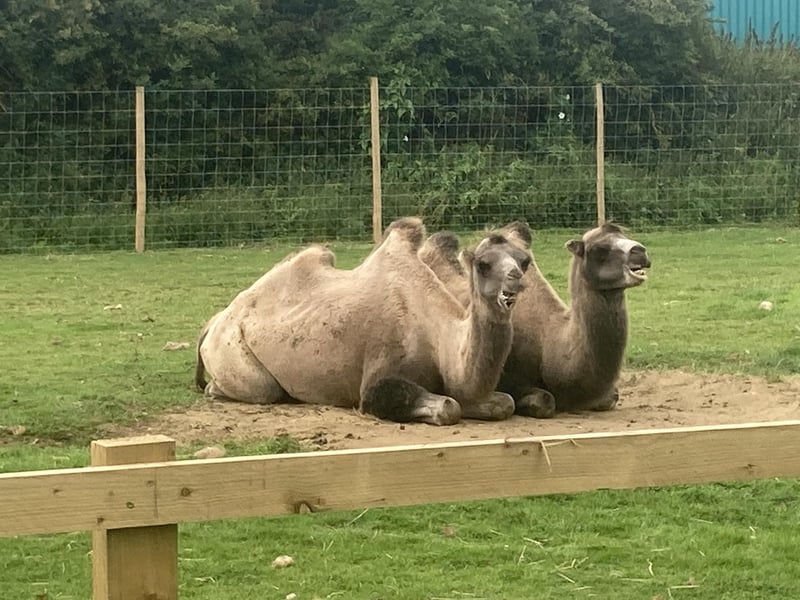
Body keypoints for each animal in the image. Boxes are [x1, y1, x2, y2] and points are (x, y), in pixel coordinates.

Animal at [195, 217, 533, 425]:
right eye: (483, 264)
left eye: (524, 261)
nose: (515, 280)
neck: (439, 337)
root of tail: (215, 321)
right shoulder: (377, 379)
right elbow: (449, 406)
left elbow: (502, 402)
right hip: (232, 350)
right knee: (261, 389)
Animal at [419, 221, 651, 418]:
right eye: (599, 249)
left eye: (625, 236)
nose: (640, 251)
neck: (549, 340)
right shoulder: (509, 378)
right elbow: (544, 400)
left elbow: (611, 396)